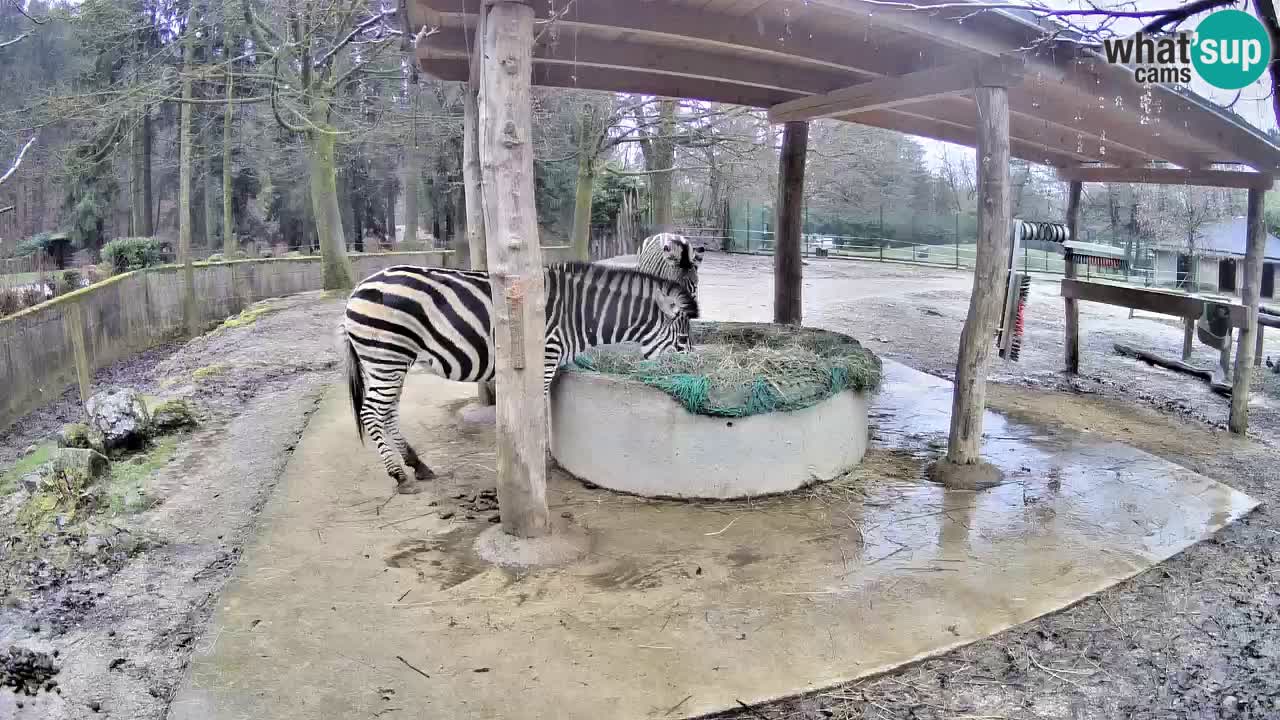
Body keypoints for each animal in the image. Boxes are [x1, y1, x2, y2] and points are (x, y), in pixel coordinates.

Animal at [340, 260, 701, 489]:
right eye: (683, 340)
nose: (692, 378)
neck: (579, 314)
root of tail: (357, 289)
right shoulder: (545, 357)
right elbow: (536, 413)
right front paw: (538, 464)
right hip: (386, 355)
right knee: (371, 413)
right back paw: (399, 475)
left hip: (390, 361)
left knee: (387, 412)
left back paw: (417, 465)